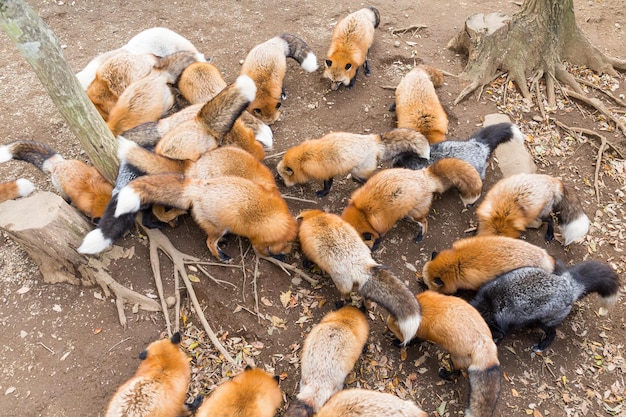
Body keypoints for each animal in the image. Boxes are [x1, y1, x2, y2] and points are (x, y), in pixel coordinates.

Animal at [115, 172, 298, 260]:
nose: (290, 253)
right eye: (287, 246)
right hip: (219, 228)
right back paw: (221, 256)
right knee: (210, 242)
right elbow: (264, 252)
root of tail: (199, 187)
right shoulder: (258, 241)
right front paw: (277, 256)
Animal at [278, 128, 428, 197]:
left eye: (280, 177)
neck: (304, 158)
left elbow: (327, 185)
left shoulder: (325, 171)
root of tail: (375, 142)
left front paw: (323, 193)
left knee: (368, 179)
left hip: (357, 171)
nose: (278, 184)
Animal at [296, 208, 420, 344]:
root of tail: (362, 265)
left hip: (341, 283)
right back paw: (363, 308)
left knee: (348, 298)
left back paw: (341, 304)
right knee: (367, 301)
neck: (316, 217)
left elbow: (308, 258)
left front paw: (306, 264)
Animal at [338, 158, 480, 249]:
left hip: (415, 213)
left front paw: (375, 247)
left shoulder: (382, 226)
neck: (363, 213)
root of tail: (424, 176)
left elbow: (379, 238)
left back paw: (420, 236)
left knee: (424, 222)